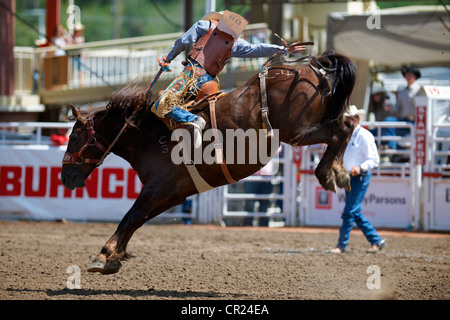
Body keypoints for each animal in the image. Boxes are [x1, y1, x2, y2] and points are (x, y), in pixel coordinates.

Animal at [60, 48, 356, 274]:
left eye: (73, 136)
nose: (65, 177)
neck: (149, 135)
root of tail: (311, 69)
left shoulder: (157, 188)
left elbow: (129, 217)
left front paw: (103, 255)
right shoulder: (173, 195)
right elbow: (138, 219)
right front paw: (116, 255)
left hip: (298, 131)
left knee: (343, 129)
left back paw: (329, 174)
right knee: (349, 124)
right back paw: (339, 172)